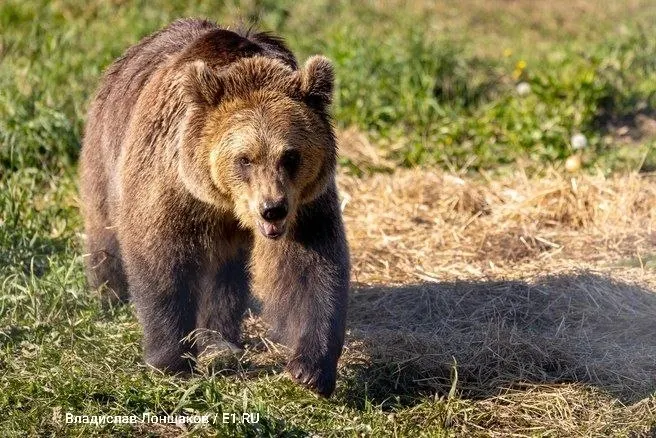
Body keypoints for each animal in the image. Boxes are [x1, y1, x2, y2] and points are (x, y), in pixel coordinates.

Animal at [79, 18, 350, 397]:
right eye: (244, 158)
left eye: (291, 156)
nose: (272, 209)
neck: (224, 201)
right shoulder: (169, 183)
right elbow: (159, 259)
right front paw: (171, 360)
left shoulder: (305, 204)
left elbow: (310, 266)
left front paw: (310, 368)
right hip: (105, 152)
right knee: (103, 227)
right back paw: (108, 292)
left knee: (226, 273)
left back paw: (220, 339)